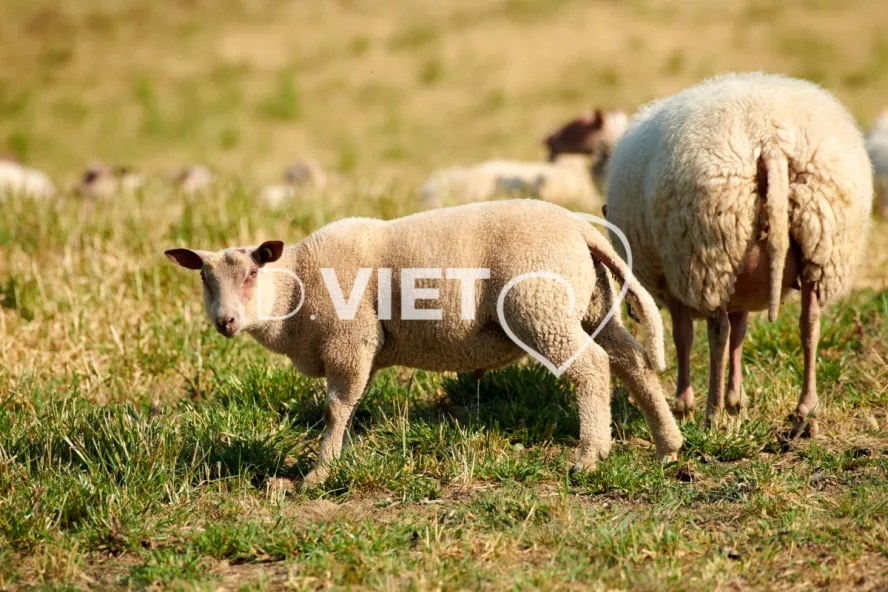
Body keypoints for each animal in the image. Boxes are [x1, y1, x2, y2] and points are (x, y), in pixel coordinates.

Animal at [165, 199, 683, 486]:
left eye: (252, 274)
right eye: (205, 279)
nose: (226, 321)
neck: (297, 285)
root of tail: (581, 228)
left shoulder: (349, 342)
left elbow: (335, 409)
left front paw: (317, 473)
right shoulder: (360, 350)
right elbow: (347, 408)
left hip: (541, 308)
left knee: (592, 367)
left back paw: (589, 456)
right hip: (590, 305)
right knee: (632, 360)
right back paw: (667, 444)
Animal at [605, 72, 873, 436]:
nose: (632, 312)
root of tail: (770, 139)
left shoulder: (677, 280)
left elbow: (685, 337)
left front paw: (687, 404)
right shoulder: (740, 290)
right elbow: (741, 335)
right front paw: (737, 401)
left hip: (708, 251)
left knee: (717, 333)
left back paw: (712, 413)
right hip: (819, 243)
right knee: (809, 323)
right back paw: (805, 411)